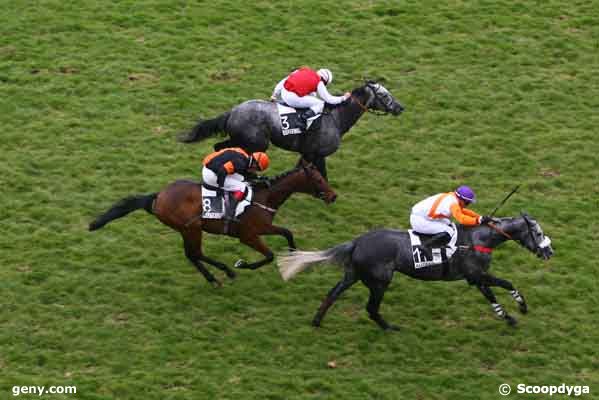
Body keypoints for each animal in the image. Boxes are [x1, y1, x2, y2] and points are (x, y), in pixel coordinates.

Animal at [91, 163, 340, 288]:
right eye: (319, 179)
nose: (333, 196)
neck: (264, 198)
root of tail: (157, 197)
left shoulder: (264, 227)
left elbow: (287, 232)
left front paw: (294, 255)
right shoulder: (248, 235)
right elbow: (268, 255)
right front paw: (242, 264)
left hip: (188, 230)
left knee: (192, 255)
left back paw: (216, 276)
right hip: (190, 228)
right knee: (195, 253)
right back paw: (225, 272)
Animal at [178, 81, 404, 178]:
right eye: (384, 95)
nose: (400, 108)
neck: (336, 118)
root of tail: (233, 111)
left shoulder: (307, 153)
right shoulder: (317, 153)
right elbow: (321, 174)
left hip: (242, 140)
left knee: (219, 147)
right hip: (256, 143)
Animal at [278, 216, 556, 332]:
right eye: (538, 233)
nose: (549, 251)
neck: (479, 239)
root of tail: (357, 242)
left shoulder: (476, 277)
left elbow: (497, 294)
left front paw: (512, 315)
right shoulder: (476, 275)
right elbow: (503, 287)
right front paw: (518, 309)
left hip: (354, 275)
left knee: (333, 293)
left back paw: (317, 321)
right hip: (380, 281)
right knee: (371, 308)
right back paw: (390, 328)